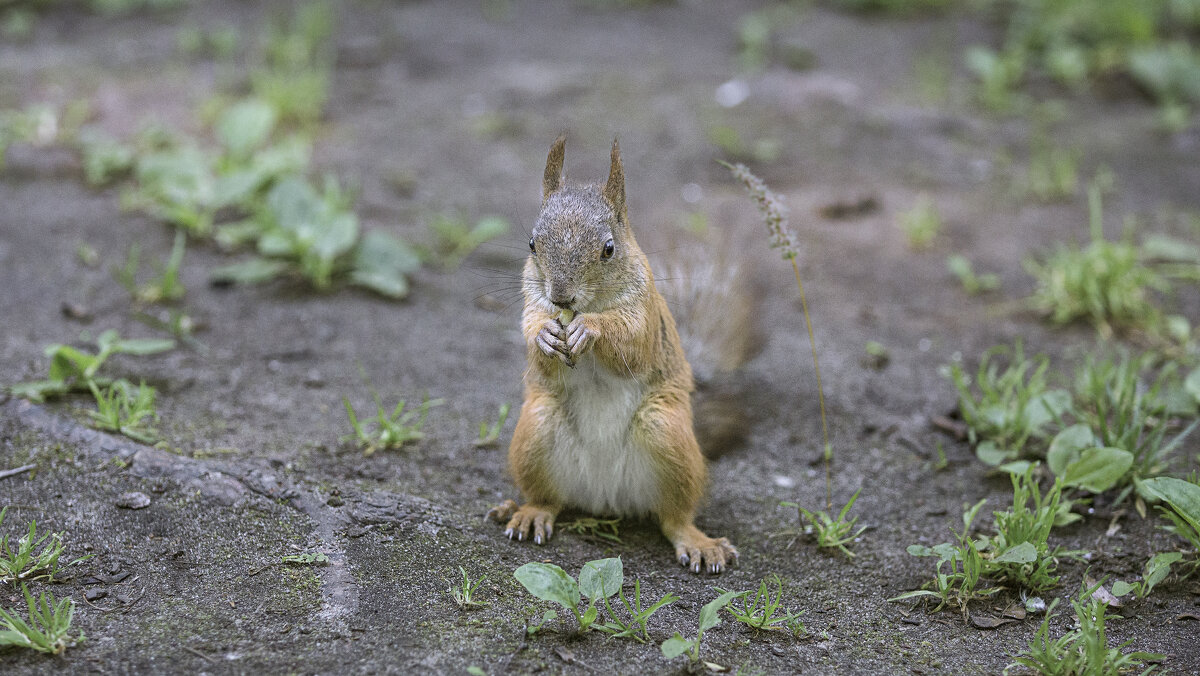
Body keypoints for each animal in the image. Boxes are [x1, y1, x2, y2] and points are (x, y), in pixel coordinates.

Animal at [484, 135, 748, 573]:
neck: (591, 303)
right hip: (537, 430)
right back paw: (528, 513)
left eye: (609, 248)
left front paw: (590, 329)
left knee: (674, 517)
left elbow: (631, 344)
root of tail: (604, 498)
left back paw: (697, 542)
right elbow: (535, 338)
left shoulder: (645, 316)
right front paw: (545, 335)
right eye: (532, 244)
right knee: (550, 500)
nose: (561, 297)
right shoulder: (531, 302)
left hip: (667, 433)